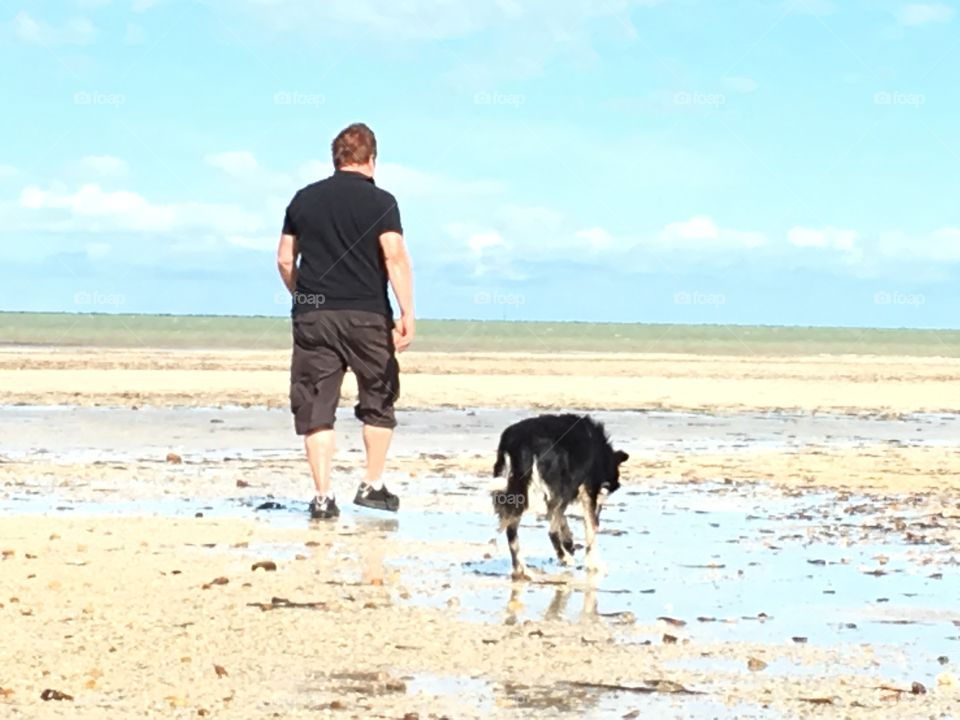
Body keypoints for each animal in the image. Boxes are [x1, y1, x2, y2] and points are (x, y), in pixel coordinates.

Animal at [492, 414, 628, 576]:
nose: (599, 519)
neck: (602, 454)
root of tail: (518, 442)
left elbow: (563, 519)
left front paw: (569, 542)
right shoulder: (586, 490)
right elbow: (590, 529)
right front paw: (594, 563)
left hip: (519, 491)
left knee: (512, 530)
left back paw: (520, 569)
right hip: (558, 487)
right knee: (551, 530)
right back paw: (564, 558)